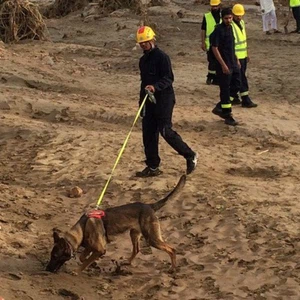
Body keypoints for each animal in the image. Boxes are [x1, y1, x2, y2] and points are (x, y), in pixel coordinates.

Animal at [46, 175, 186, 274]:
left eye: (55, 256)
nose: (47, 269)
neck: (83, 227)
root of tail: (149, 206)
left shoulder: (100, 249)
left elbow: (84, 260)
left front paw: (78, 270)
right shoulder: (91, 247)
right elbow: (82, 257)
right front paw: (92, 263)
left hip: (151, 238)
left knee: (171, 249)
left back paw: (173, 269)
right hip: (134, 234)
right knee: (136, 249)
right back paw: (127, 262)